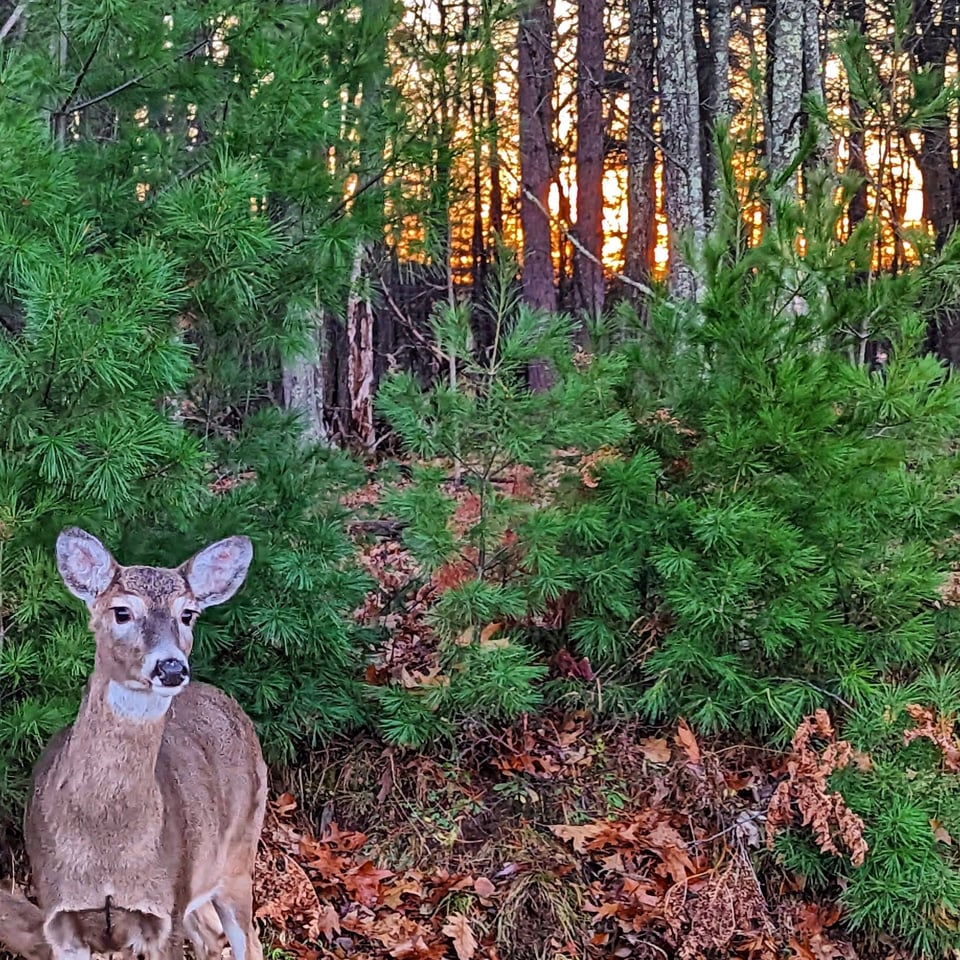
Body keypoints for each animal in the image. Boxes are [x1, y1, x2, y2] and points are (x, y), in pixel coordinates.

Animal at [0, 528, 268, 960]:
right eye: (122, 612)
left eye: (187, 614)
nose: (171, 667)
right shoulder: (59, 917)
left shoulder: (164, 912)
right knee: (210, 935)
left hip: (239, 855)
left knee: (248, 938)